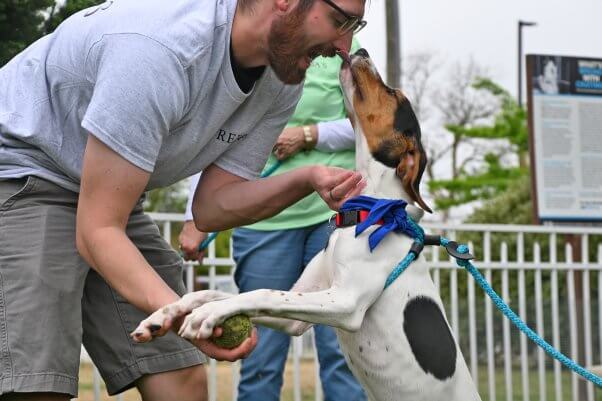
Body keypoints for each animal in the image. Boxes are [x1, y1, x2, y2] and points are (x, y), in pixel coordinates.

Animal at [135, 48, 478, 398]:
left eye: (395, 95)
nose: (361, 51)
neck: (369, 211)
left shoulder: (345, 303)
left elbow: (264, 292)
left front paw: (208, 314)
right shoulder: (297, 315)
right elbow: (218, 293)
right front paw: (166, 314)